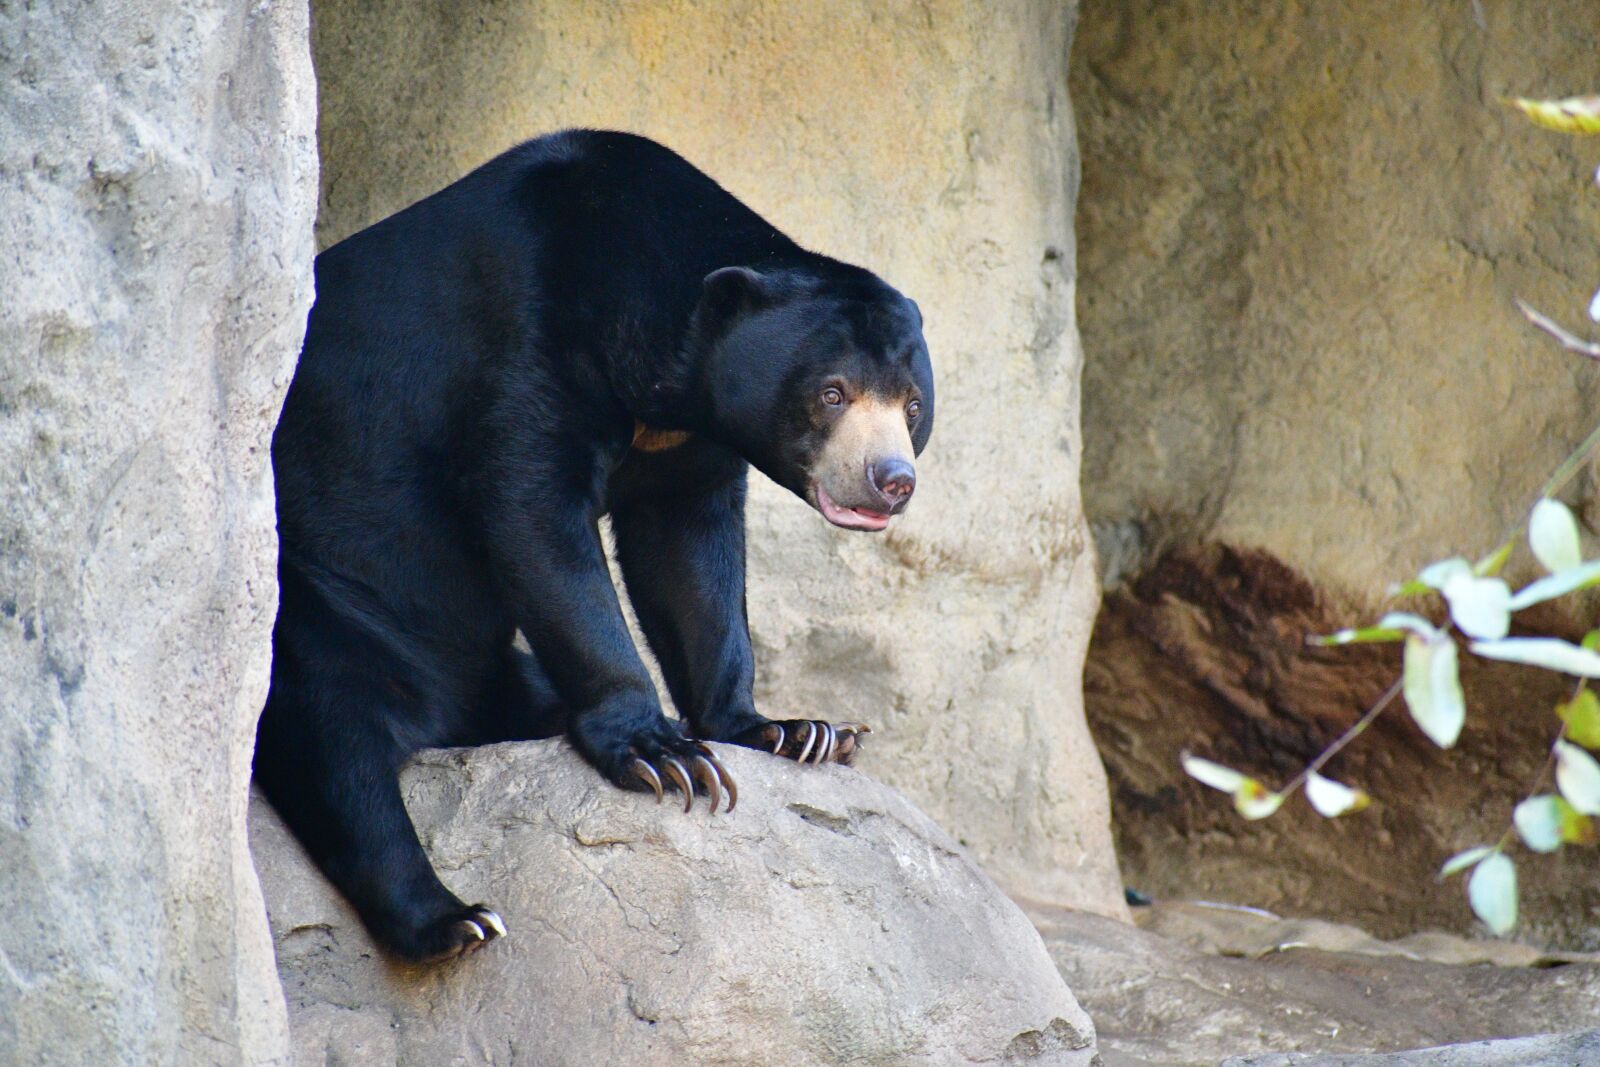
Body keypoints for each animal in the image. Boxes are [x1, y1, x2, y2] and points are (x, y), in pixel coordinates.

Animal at [254, 129, 934, 966]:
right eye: (832, 392)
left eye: (912, 404)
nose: (891, 481)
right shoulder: (523, 340)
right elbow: (535, 515)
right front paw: (664, 754)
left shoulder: (691, 442)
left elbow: (691, 563)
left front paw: (794, 729)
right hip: (322, 595)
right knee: (337, 744)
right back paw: (455, 919)